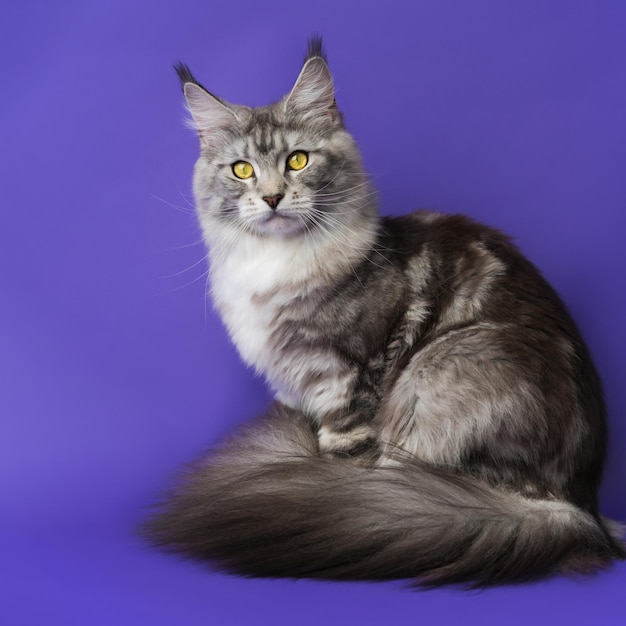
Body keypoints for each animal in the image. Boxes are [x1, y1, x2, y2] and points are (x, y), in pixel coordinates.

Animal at [143, 37, 624, 584]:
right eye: (242, 169)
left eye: (298, 161)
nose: (271, 198)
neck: (277, 265)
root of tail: (581, 509)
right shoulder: (293, 383)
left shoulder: (349, 377)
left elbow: (344, 455)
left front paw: (325, 494)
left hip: (440, 370)